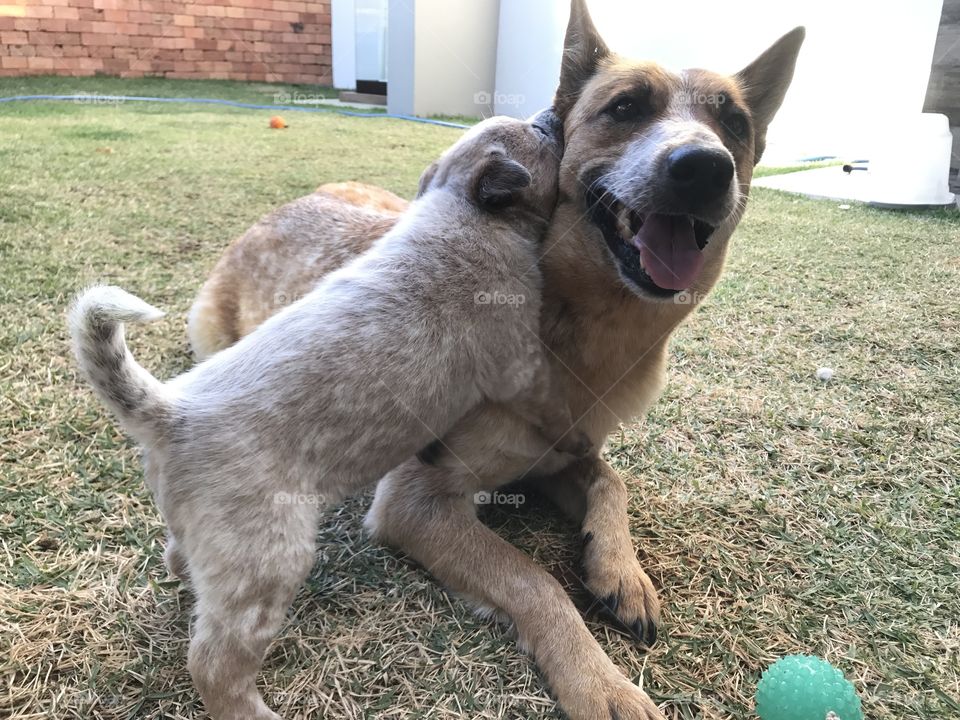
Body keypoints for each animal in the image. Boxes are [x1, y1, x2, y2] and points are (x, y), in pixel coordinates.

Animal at [69, 109, 584, 716]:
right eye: (542, 136)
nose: (552, 115)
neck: (461, 209)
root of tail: (171, 411)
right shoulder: (520, 363)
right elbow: (552, 392)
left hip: (198, 533)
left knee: (180, 562)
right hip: (267, 562)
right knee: (214, 665)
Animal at [188, 2, 804, 716]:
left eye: (734, 123)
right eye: (626, 107)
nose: (704, 166)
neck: (579, 329)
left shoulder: (567, 453)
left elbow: (610, 480)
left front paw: (619, 568)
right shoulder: (417, 502)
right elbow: (535, 579)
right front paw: (600, 683)